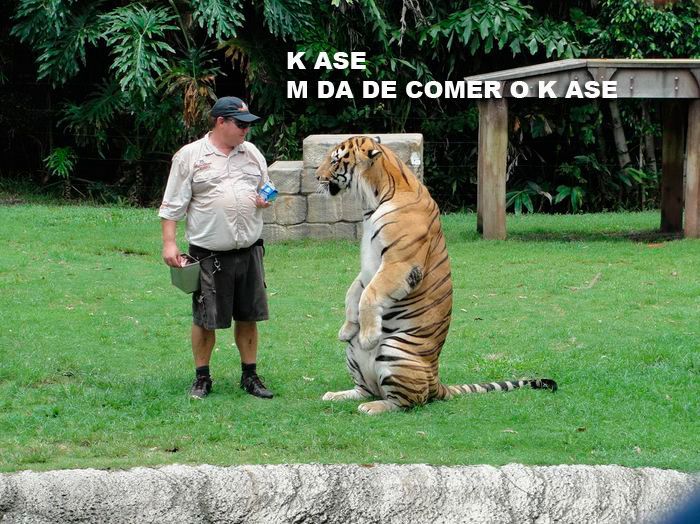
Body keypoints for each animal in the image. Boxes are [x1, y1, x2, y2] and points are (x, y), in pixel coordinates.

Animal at [315, 136, 556, 414]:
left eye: (335, 160)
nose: (316, 176)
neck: (371, 201)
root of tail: (436, 377)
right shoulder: (368, 267)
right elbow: (354, 291)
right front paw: (346, 329)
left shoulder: (399, 263)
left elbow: (370, 294)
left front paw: (368, 335)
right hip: (354, 355)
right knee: (366, 389)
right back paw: (336, 395)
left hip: (394, 350)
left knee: (408, 401)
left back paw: (374, 407)